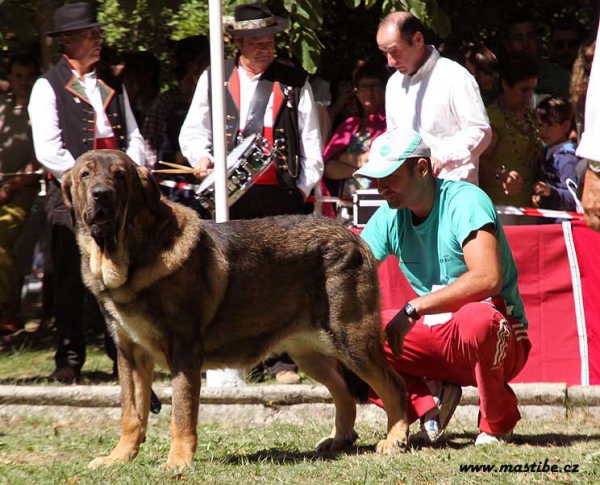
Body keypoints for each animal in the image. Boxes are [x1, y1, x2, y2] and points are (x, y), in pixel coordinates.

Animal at [61, 149, 408, 466]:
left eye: (120, 176)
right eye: (85, 175)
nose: (101, 194)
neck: (130, 257)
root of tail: (353, 237)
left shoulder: (183, 351)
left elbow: (182, 413)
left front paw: (178, 462)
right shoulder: (130, 354)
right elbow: (131, 413)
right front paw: (119, 457)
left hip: (352, 340)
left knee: (393, 385)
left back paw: (395, 439)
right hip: (308, 351)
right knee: (343, 392)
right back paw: (340, 439)